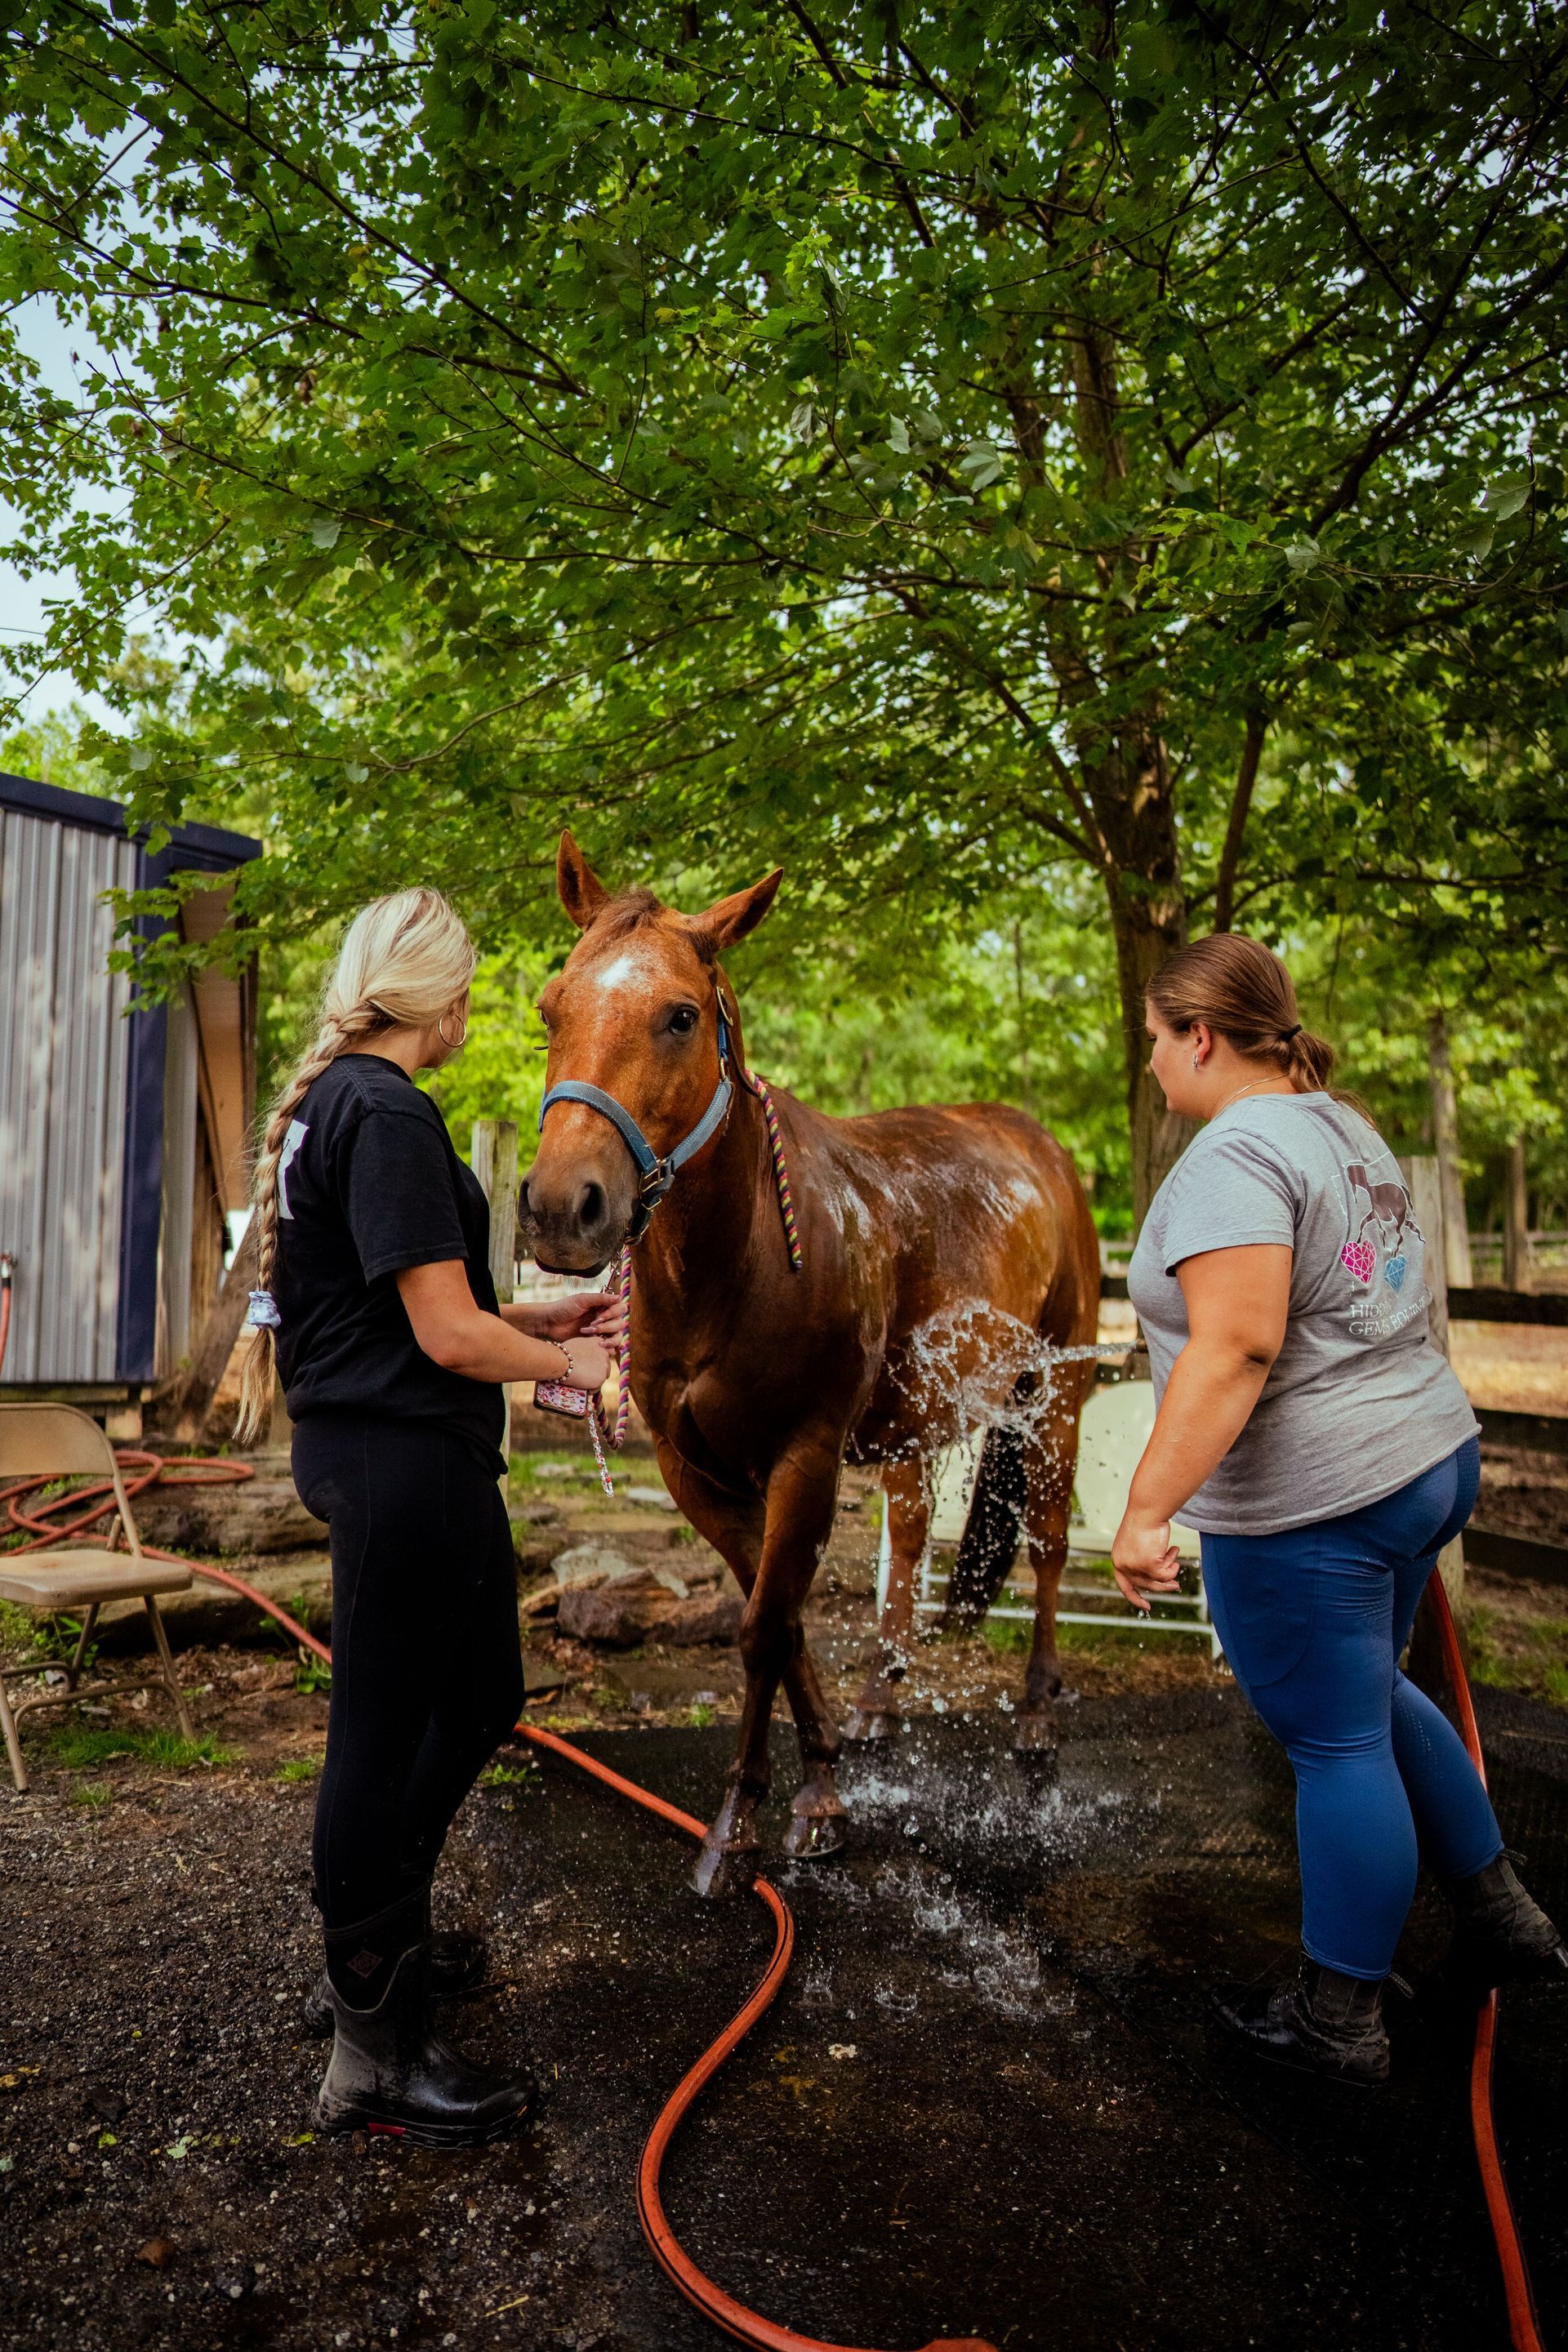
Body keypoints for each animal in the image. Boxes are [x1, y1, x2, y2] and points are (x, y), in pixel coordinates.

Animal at [518, 834, 1101, 1897]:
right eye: (551, 1006)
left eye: (681, 1015)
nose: (558, 1207)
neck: (733, 1267)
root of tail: (1036, 1142)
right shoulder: (695, 1470)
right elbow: (776, 1622)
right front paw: (817, 1784)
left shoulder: (804, 1456)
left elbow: (762, 1629)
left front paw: (746, 1824)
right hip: (915, 1428)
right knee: (908, 1544)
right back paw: (881, 1696)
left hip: (1054, 1399)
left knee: (1044, 1543)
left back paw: (1038, 1713)